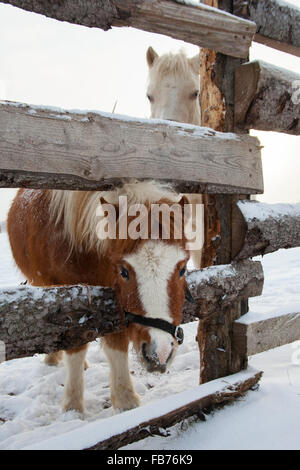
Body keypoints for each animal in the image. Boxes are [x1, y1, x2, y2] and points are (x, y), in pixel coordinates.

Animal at [7, 180, 192, 412]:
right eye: (123, 271)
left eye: (182, 269)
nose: (160, 353)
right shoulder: (70, 303)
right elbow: (76, 347)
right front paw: (73, 405)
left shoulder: (115, 300)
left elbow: (117, 342)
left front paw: (125, 399)